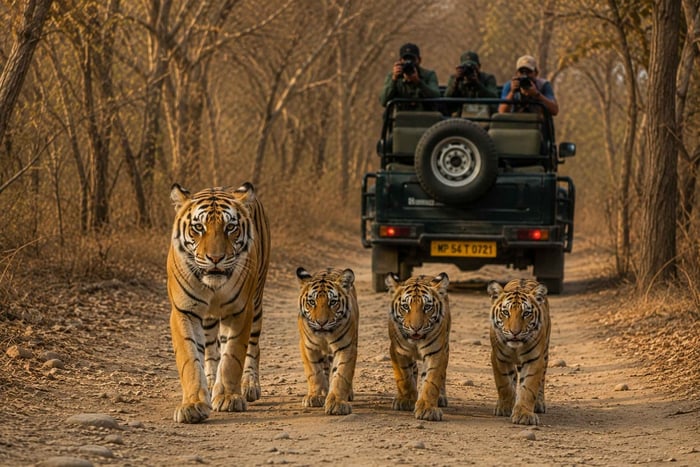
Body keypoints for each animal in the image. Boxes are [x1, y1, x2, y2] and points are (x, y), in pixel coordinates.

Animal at [167, 183, 270, 424]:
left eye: (230, 227)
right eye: (198, 227)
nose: (215, 258)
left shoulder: (240, 310)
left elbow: (232, 356)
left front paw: (228, 398)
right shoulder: (184, 312)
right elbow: (190, 358)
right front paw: (193, 404)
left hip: (256, 302)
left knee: (253, 347)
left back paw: (249, 385)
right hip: (209, 318)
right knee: (211, 351)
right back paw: (212, 382)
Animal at [295, 267, 359, 415]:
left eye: (333, 302)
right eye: (312, 302)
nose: (321, 322)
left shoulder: (347, 347)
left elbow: (341, 374)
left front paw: (337, 403)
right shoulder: (308, 347)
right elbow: (314, 372)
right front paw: (315, 396)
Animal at [385, 272, 451, 421]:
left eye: (427, 307)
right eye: (405, 306)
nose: (416, 328)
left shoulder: (437, 352)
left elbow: (431, 381)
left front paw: (427, 409)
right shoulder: (398, 351)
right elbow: (404, 377)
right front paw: (406, 400)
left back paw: (441, 397)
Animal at [487, 278, 550, 426]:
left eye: (526, 313)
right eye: (505, 312)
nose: (515, 332)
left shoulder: (534, 360)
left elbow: (528, 388)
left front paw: (524, 415)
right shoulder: (499, 358)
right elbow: (504, 384)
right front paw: (505, 407)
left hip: (545, 354)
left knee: (541, 381)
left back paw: (538, 404)